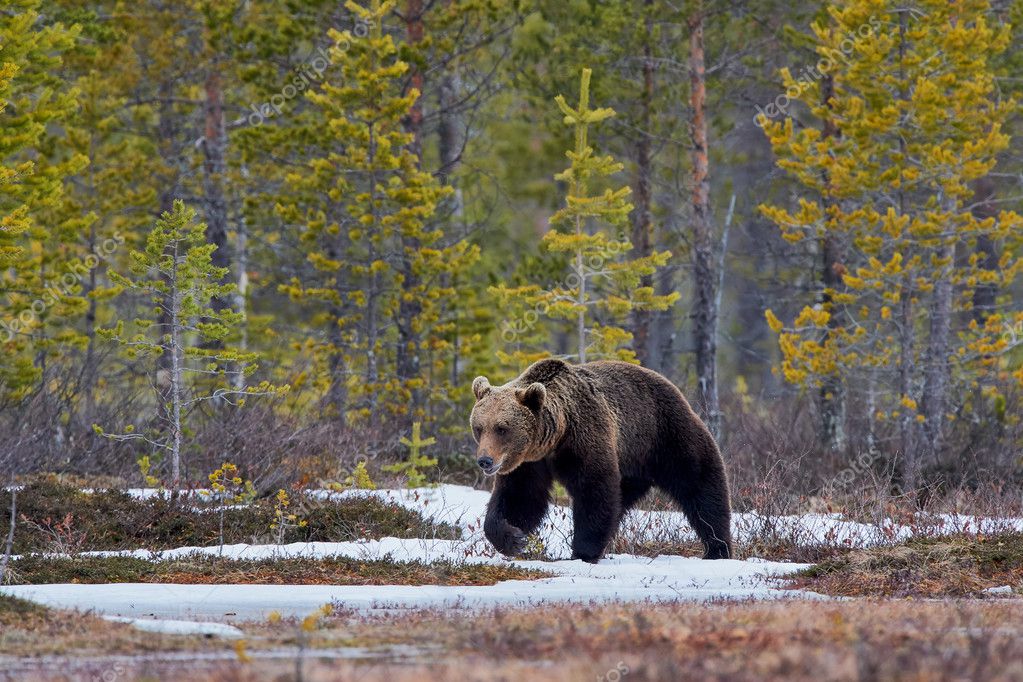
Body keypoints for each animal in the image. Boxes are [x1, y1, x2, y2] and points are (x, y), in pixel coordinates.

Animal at [468, 359, 732, 564]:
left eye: (502, 428)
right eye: (479, 427)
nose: (485, 460)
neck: (553, 438)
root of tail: (673, 387)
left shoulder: (584, 437)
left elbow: (593, 490)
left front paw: (582, 552)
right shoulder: (529, 463)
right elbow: (520, 498)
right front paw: (513, 538)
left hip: (665, 434)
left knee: (701, 485)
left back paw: (718, 548)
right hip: (631, 467)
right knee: (620, 503)